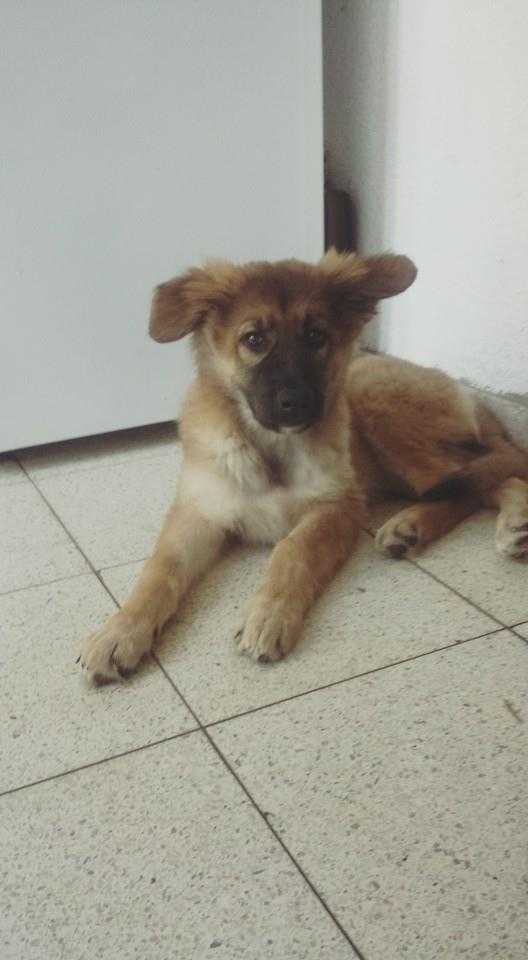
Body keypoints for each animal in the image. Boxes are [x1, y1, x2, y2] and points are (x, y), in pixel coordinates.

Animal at [80, 250, 528, 682]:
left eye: (316, 336)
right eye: (254, 339)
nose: (294, 402)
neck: (271, 446)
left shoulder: (337, 505)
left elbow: (293, 549)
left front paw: (269, 615)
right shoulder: (200, 511)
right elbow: (159, 570)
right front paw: (120, 632)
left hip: (376, 405)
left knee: (486, 475)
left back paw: (501, 521)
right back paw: (413, 528)